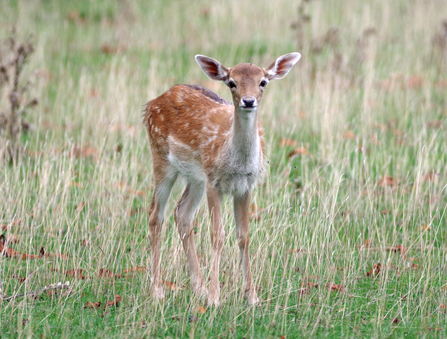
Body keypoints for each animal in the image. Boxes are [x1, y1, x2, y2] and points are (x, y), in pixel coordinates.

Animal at [145, 52, 302, 306]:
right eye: (231, 82)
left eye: (263, 82)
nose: (248, 101)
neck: (236, 164)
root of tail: (151, 103)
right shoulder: (214, 182)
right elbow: (217, 236)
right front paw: (214, 297)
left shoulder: (246, 186)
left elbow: (244, 237)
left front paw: (252, 296)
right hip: (161, 158)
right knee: (155, 216)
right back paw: (157, 290)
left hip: (196, 177)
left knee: (182, 213)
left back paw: (197, 287)